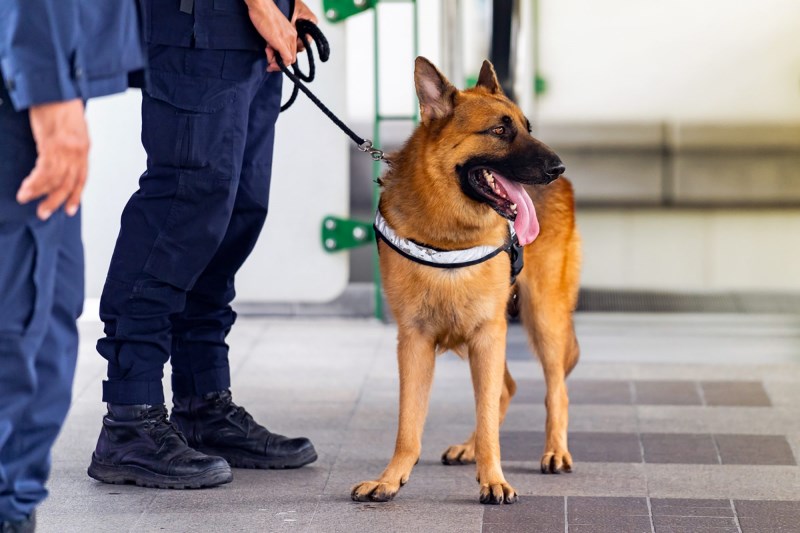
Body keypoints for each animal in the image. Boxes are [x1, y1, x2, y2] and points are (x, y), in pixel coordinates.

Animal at [350, 57, 580, 502]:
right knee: (505, 388)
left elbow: (489, 417)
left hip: (542, 319)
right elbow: (408, 424)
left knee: (555, 390)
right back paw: (470, 448)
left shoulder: (488, 334)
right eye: (499, 131)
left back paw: (555, 451)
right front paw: (391, 478)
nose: (558, 166)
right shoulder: (415, 342)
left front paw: (494, 479)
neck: (448, 234)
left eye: (527, 127)